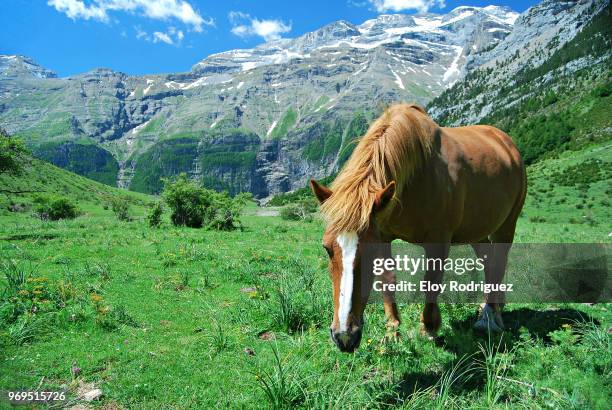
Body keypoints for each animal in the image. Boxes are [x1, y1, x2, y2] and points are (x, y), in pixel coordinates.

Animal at [310, 103, 524, 352]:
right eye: (327, 249)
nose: (344, 336)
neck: (415, 177)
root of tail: (506, 143)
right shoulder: (383, 236)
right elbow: (388, 279)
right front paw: (392, 331)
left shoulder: (438, 241)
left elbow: (431, 282)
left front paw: (428, 328)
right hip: (476, 232)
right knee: (489, 262)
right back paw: (490, 306)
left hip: (506, 226)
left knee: (499, 262)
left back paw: (490, 316)